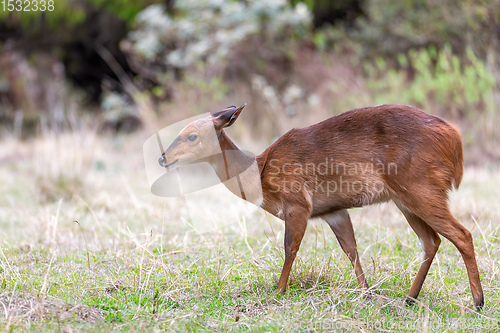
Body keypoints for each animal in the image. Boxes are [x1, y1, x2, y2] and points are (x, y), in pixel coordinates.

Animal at [157, 103, 484, 308]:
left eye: (192, 135)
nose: (163, 157)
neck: (259, 174)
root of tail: (453, 137)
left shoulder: (298, 204)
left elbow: (290, 247)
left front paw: (278, 292)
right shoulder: (333, 211)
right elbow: (351, 249)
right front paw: (366, 294)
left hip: (421, 189)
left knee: (462, 234)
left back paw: (478, 302)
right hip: (405, 199)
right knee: (431, 240)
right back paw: (409, 298)